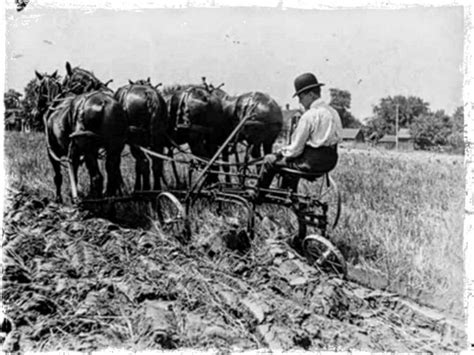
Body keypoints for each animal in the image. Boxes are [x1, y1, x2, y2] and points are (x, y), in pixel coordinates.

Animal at [35, 63, 128, 203]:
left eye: (38, 89)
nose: (37, 111)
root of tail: (104, 104)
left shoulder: (52, 151)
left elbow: (58, 176)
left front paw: (59, 199)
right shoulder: (75, 153)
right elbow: (75, 172)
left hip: (88, 147)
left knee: (97, 177)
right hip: (114, 146)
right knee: (111, 171)